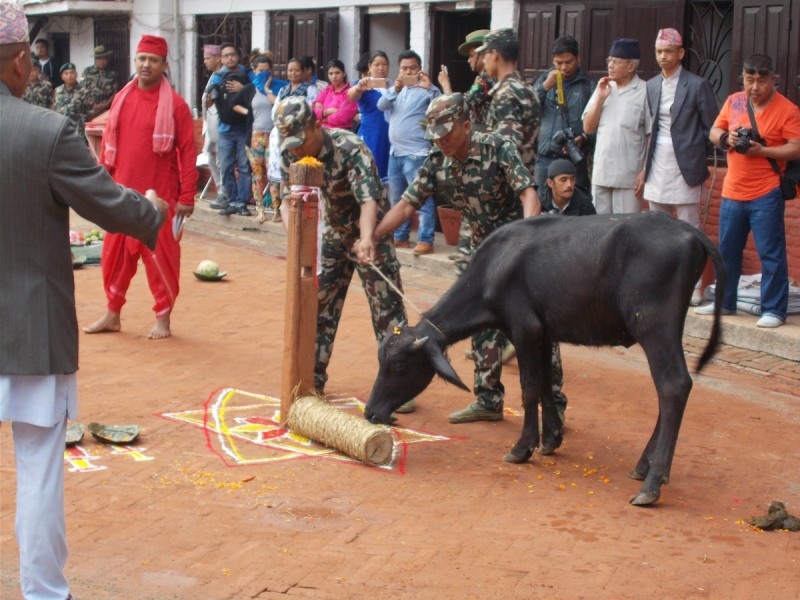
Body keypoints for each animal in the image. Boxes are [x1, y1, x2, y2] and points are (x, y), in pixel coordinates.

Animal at [366, 213, 728, 504]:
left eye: (397, 364)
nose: (371, 412)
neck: (492, 269)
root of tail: (692, 233)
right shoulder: (543, 335)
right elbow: (543, 386)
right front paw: (551, 439)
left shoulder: (524, 329)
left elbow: (528, 389)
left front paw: (522, 447)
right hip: (666, 329)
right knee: (671, 389)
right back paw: (646, 467)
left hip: (653, 325)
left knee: (673, 386)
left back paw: (651, 484)